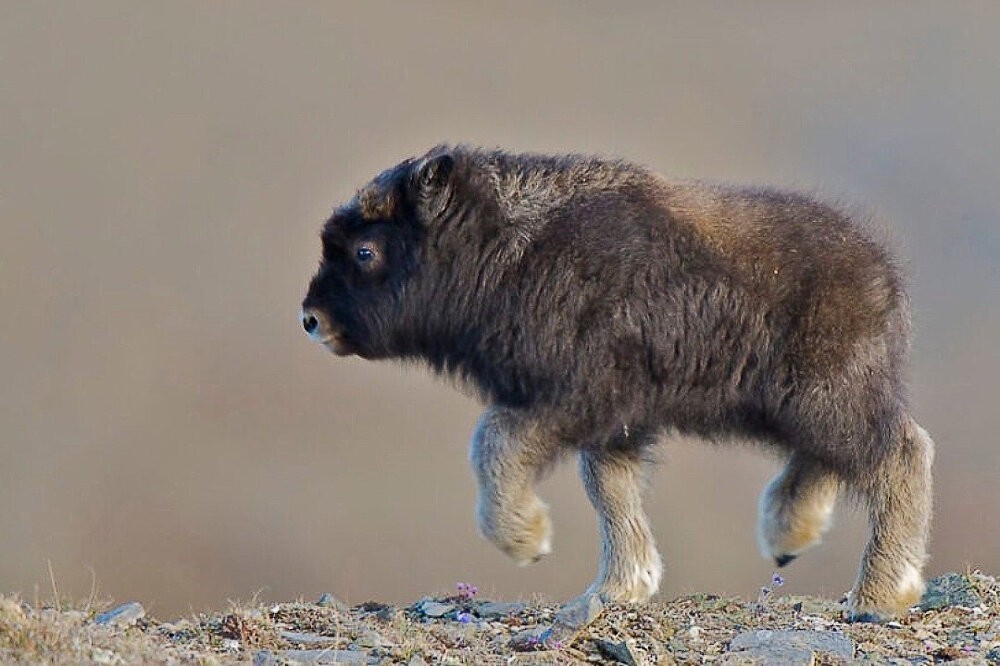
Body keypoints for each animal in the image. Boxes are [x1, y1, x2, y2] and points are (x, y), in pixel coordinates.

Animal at [300, 144, 932, 616]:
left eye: (365, 249)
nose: (311, 319)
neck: (509, 248)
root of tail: (883, 272)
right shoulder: (613, 421)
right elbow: (609, 490)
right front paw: (622, 586)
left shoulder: (572, 397)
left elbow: (494, 443)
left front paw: (526, 540)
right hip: (802, 406)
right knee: (827, 459)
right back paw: (787, 536)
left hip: (827, 397)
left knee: (900, 454)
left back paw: (880, 594)